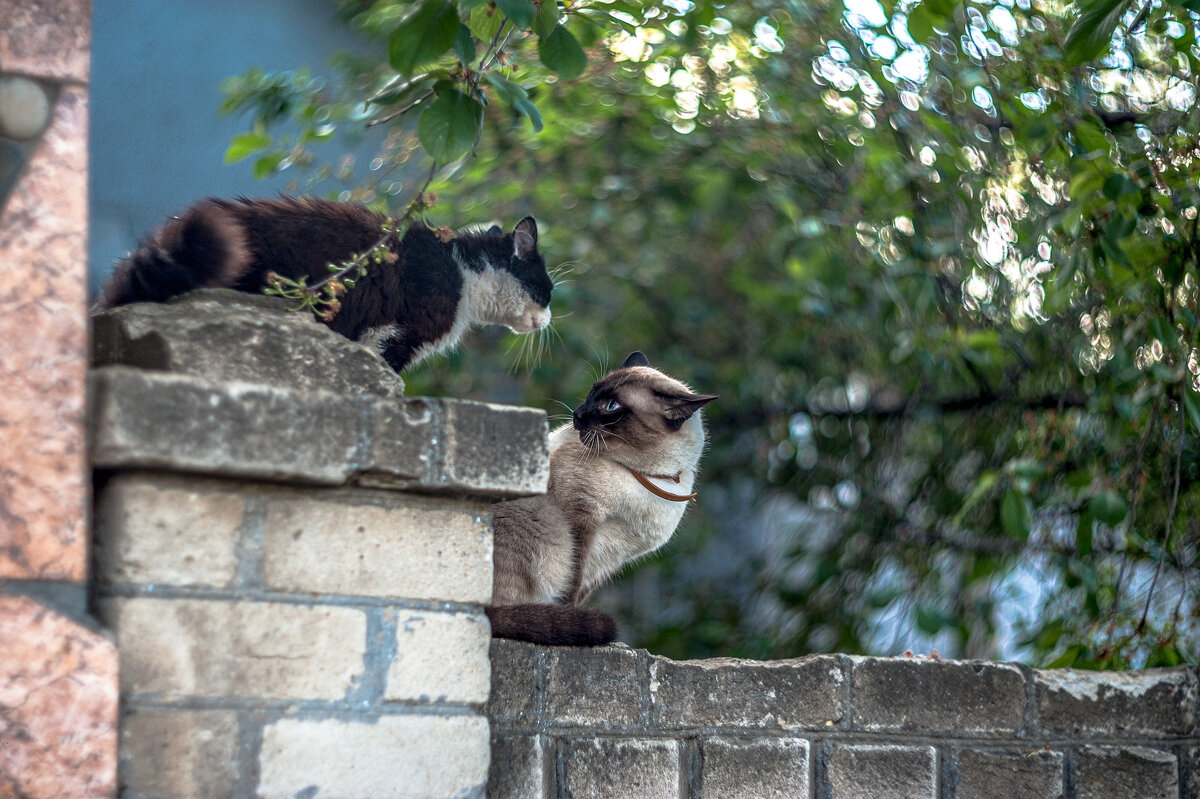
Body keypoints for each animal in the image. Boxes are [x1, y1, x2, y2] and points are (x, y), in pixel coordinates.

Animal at [484, 352, 710, 643]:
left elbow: (579, 591)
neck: (644, 476)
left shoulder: (612, 557)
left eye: (611, 406)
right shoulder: (581, 523)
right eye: (592, 393)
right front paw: (568, 620)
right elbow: (571, 583)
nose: (577, 414)